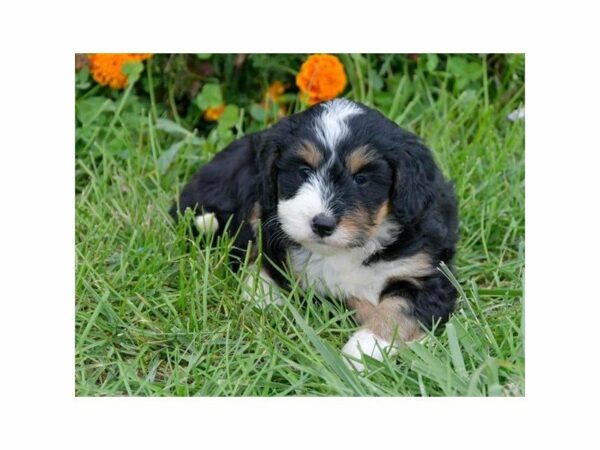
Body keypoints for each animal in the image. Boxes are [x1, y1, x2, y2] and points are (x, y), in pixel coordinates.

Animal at [172, 100, 460, 370]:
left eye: (362, 179)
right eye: (304, 171)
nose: (322, 224)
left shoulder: (426, 274)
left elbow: (396, 309)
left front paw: (366, 348)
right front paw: (364, 351)